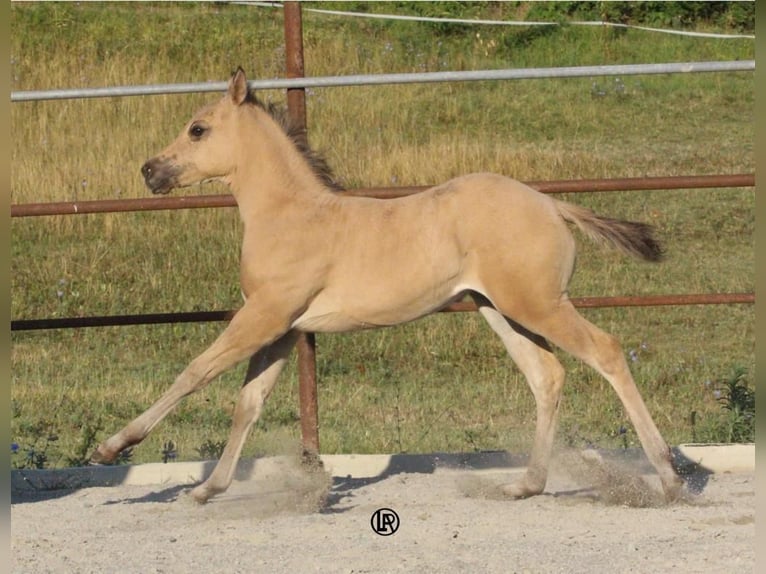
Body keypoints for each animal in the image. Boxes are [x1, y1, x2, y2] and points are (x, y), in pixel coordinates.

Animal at [91, 67, 685, 504]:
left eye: (198, 129)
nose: (149, 171)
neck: (292, 215)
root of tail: (552, 204)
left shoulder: (263, 316)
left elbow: (195, 373)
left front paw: (112, 448)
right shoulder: (284, 327)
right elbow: (248, 402)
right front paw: (208, 487)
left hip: (538, 304)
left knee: (607, 352)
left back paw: (669, 477)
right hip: (499, 308)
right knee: (547, 375)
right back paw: (525, 484)